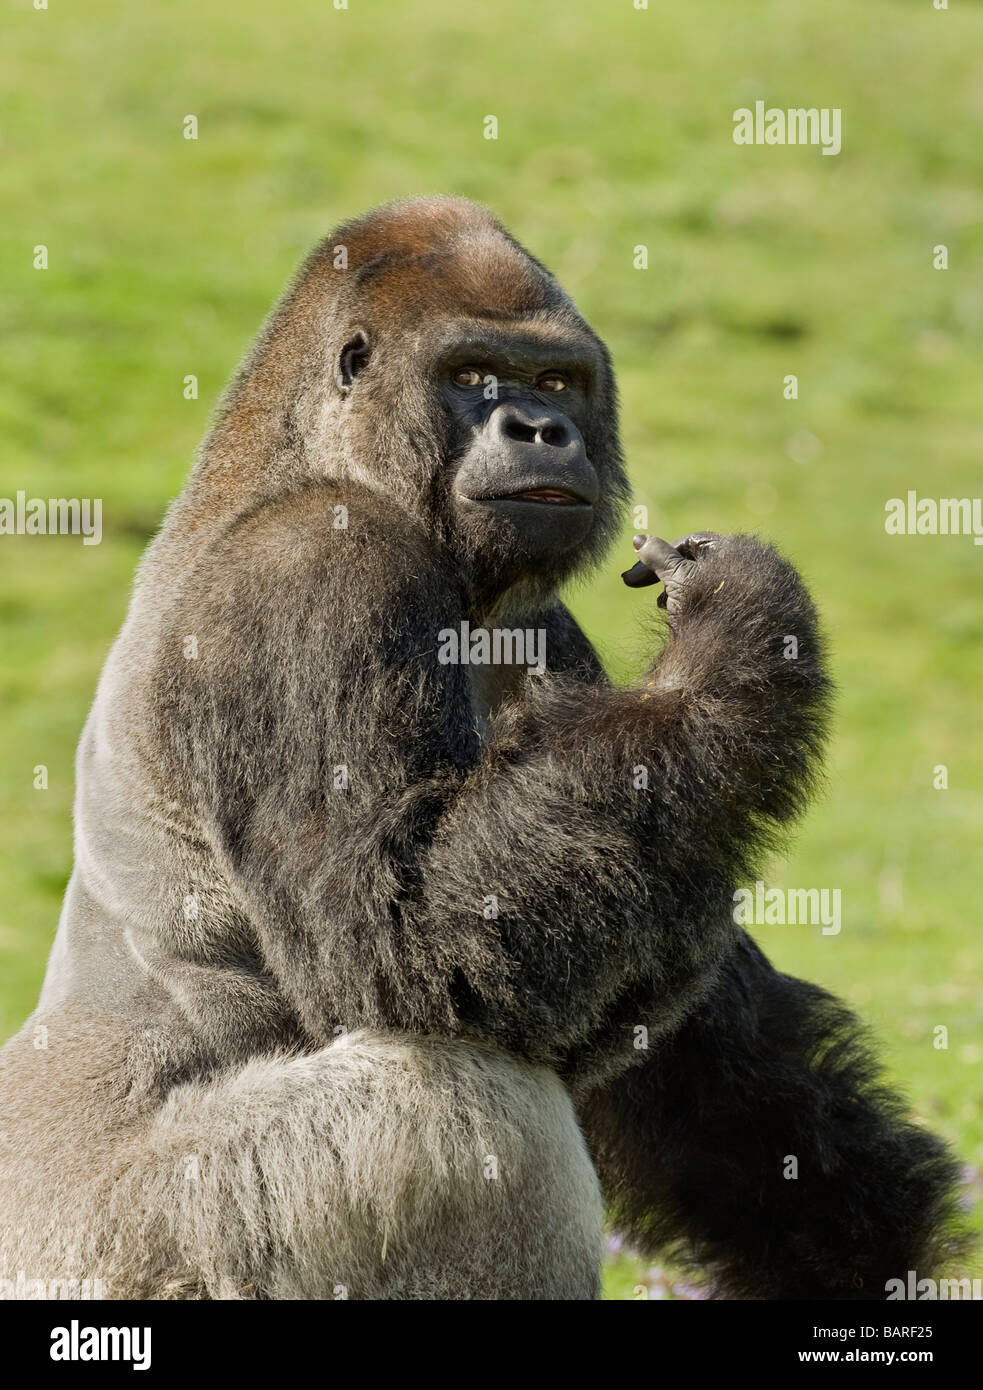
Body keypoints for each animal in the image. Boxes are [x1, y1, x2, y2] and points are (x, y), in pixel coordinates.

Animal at [0, 197, 959, 1300]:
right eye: (471, 375)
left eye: (557, 382)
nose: (540, 429)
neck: (315, 452)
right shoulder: (314, 567)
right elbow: (406, 942)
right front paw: (736, 638)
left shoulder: (551, 647)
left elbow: (659, 960)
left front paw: (854, 1246)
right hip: (115, 1253)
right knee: (463, 1095)